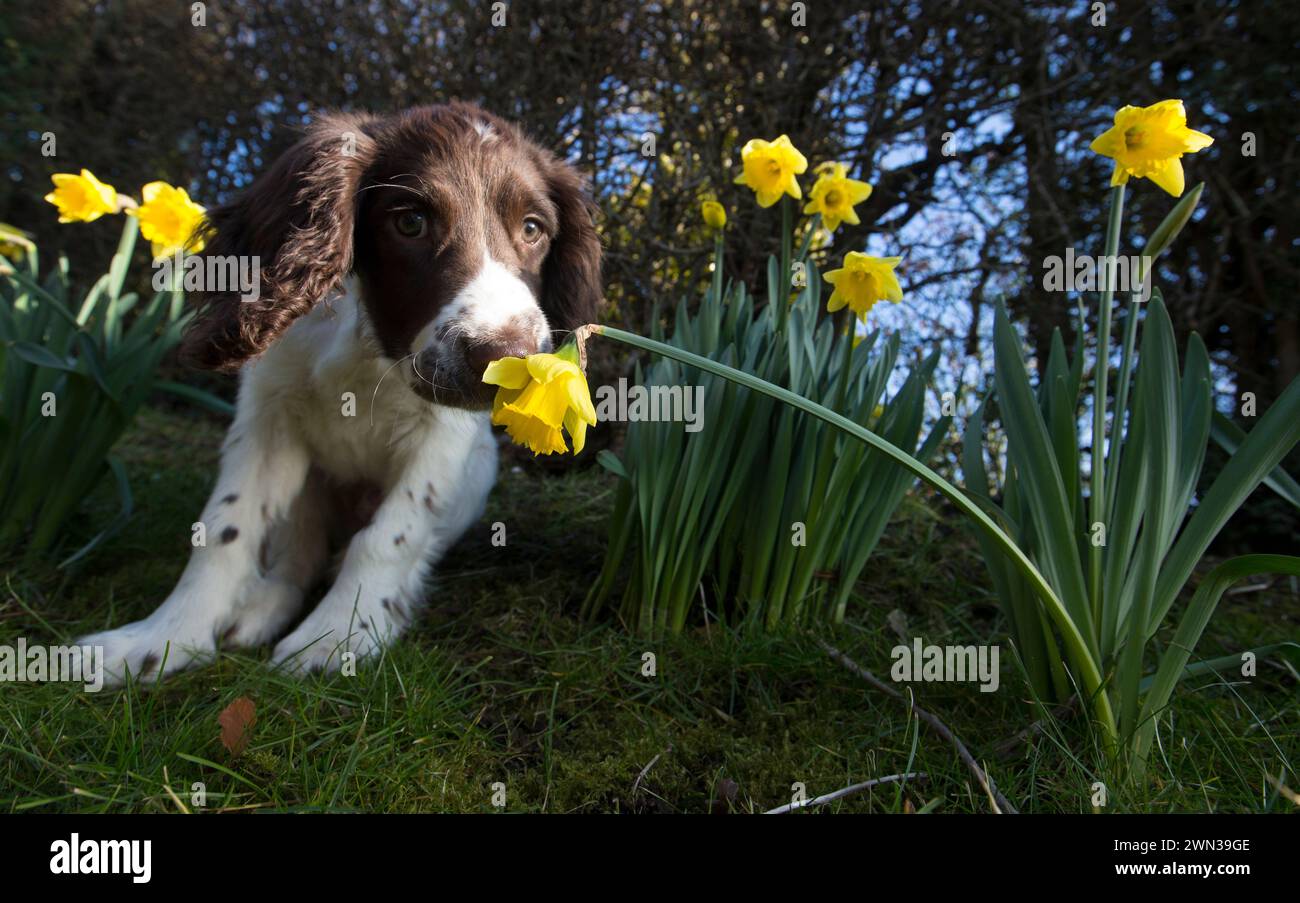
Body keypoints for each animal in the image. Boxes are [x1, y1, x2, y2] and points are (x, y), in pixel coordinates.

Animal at [83, 102, 600, 680]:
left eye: (533, 229)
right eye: (410, 222)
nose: (506, 357)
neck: (372, 348)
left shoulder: (444, 437)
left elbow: (388, 536)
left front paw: (338, 636)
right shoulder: (266, 418)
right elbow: (224, 528)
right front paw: (163, 640)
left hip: (477, 475)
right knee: (298, 551)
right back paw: (258, 608)